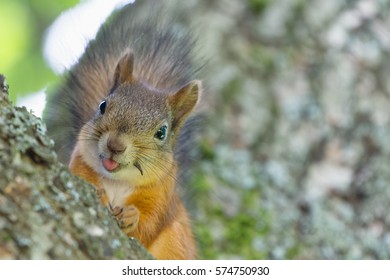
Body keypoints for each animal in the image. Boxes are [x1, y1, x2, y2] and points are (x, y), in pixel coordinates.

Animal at [45, 0, 201, 260]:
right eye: (102, 105)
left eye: (162, 132)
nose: (115, 146)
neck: (117, 182)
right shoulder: (80, 164)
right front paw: (98, 194)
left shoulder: (162, 196)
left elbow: (147, 227)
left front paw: (131, 216)